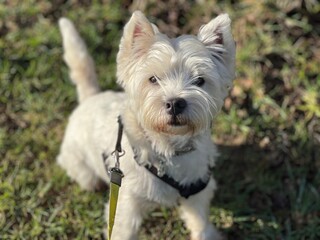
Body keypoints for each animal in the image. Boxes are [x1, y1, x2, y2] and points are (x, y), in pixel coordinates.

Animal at [58, 10, 235, 239]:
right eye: (153, 79)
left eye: (199, 80)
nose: (175, 103)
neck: (169, 149)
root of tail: (91, 97)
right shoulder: (125, 207)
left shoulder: (198, 191)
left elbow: (200, 222)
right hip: (79, 164)